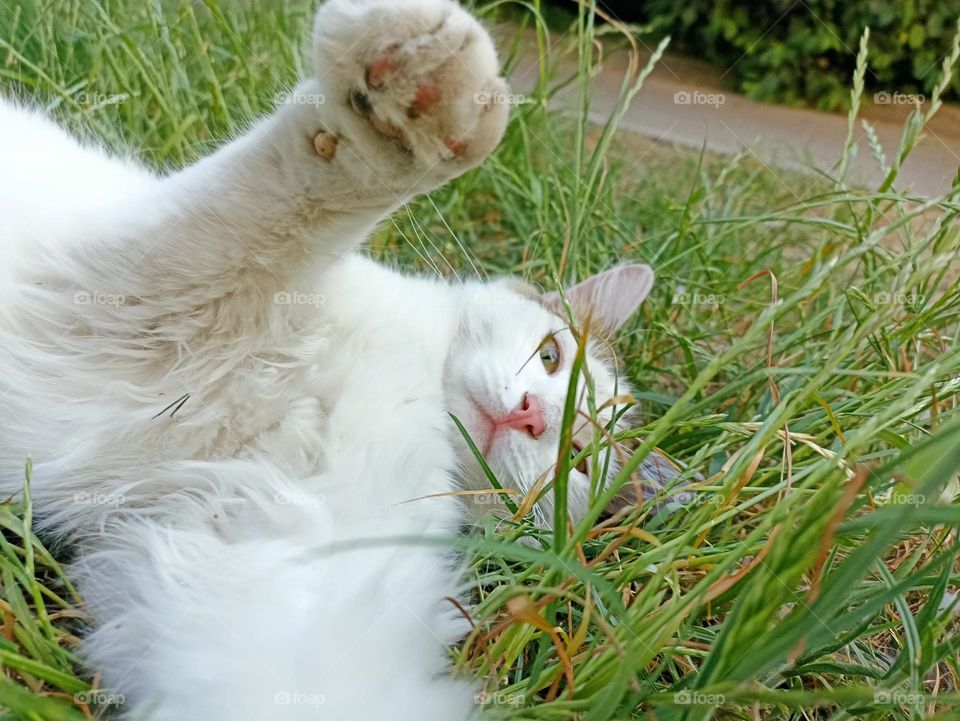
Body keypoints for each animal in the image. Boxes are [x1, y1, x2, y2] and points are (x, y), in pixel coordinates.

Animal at [0, 1, 676, 720]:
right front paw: (407, 113)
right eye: (550, 356)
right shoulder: (131, 293)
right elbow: (282, 209)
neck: (409, 386)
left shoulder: (277, 562)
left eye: (577, 461)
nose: (529, 415)